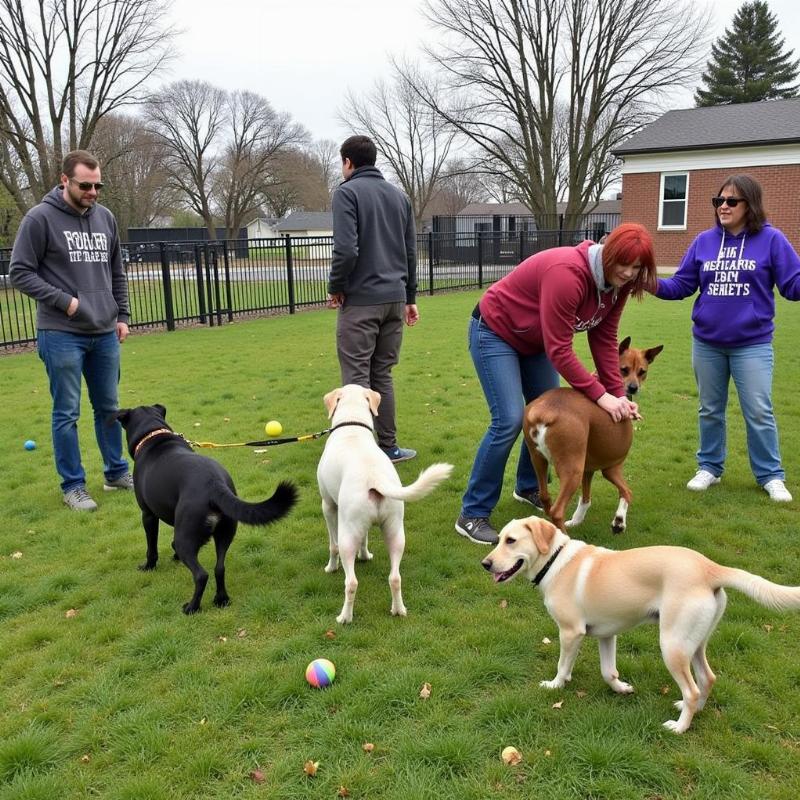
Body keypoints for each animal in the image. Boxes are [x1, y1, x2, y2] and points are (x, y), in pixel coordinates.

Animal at [114, 404, 298, 616]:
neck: (153, 435)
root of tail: (214, 485)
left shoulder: (148, 515)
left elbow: (151, 547)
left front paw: (149, 566)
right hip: (225, 532)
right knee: (219, 568)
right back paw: (221, 599)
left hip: (186, 536)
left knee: (201, 574)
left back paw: (192, 607)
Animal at [316, 386, 454, 624]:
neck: (352, 425)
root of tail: (374, 479)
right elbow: (365, 539)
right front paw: (365, 556)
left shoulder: (329, 507)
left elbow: (332, 545)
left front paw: (331, 567)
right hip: (395, 531)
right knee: (395, 577)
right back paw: (398, 609)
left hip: (347, 533)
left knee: (351, 582)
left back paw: (345, 617)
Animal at [520, 334, 660, 536]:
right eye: (623, 370)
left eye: (642, 372)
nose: (633, 388)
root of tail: (545, 410)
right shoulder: (611, 468)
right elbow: (627, 492)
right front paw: (619, 521)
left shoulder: (588, 469)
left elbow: (585, 498)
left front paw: (577, 519)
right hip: (572, 471)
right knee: (557, 511)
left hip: (539, 461)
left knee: (545, 497)